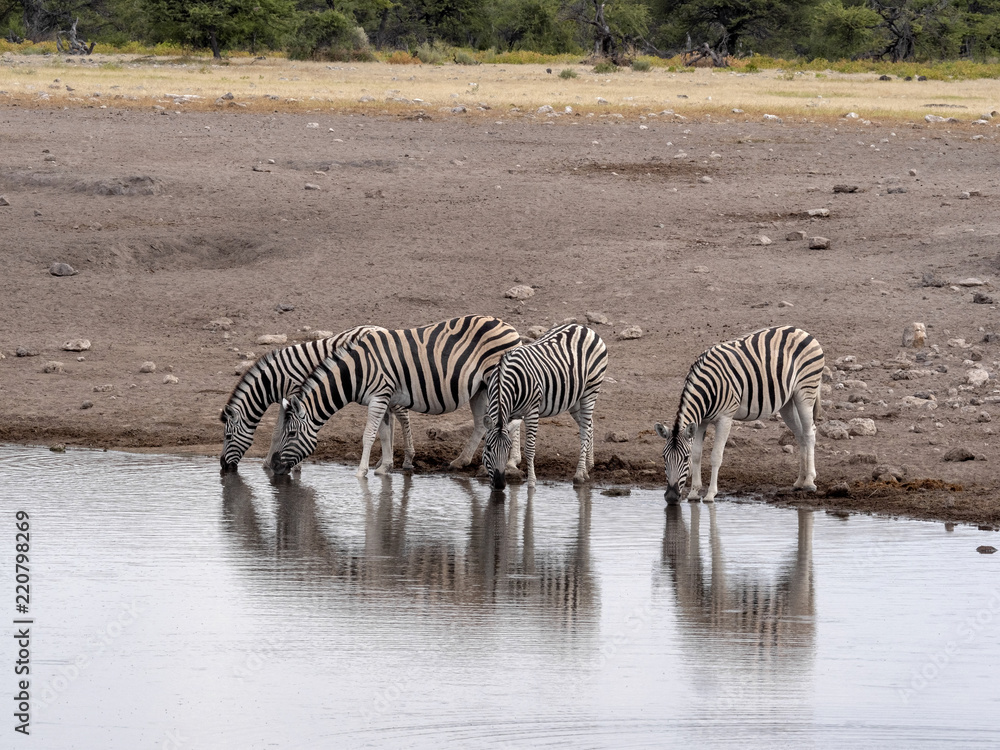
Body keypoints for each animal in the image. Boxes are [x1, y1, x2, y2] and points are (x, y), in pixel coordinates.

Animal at [219, 326, 414, 473]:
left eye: (228, 436)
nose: (222, 465)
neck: (274, 379)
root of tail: (381, 328)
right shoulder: (286, 399)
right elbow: (277, 433)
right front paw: (268, 463)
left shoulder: (295, 394)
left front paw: (296, 467)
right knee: (391, 416)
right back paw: (383, 461)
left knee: (403, 416)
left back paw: (407, 459)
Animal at [269, 315, 523, 478]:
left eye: (291, 433)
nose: (273, 467)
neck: (356, 370)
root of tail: (508, 326)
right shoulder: (384, 398)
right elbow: (383, 434)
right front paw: (385, 468)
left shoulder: (379, 396)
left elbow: (369, 435)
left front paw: (361, 472)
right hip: (480, 388)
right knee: (482, 424)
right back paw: (460, 462)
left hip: (498, 381)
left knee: (512, 421)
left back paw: (510, 463)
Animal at [482, 323, 608, 491]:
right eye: (488, 448)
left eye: (507, 449)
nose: (500, 484)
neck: (504, 381)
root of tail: (584, 328)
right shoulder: (509, 413)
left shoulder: (532, 411)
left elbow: (529, 449)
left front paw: (531, 483)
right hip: (575, 398)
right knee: (589, 425)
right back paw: (588, 466)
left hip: (591, 389)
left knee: (585, 430)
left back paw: (579, 474)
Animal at [655, 325, 825, 504]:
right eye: (663, 457)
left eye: (684, 458)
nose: (671, 497)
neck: (707, 388)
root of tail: (799, 330)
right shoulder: (701, 421)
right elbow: (697, 454)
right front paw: (694, 493)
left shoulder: (725, 418)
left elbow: (716, 456)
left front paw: (710, 494)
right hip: (787, 402)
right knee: (800, 435)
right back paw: (799, 481)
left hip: (805, 392)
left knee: (809, 433)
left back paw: (809, 481)